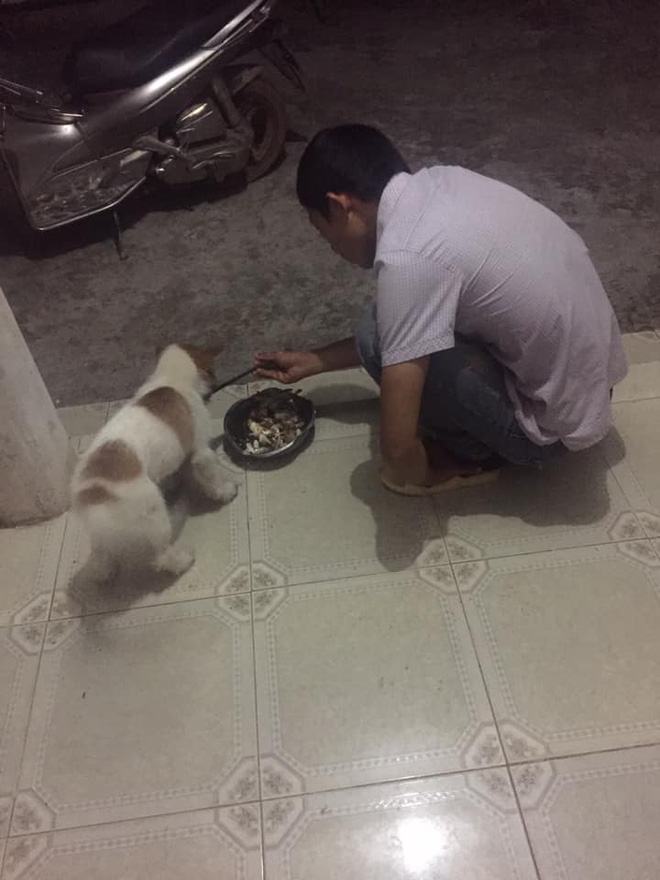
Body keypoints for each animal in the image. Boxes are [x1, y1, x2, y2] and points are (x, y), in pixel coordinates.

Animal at [71, 343, 238, 583]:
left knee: (102, 557)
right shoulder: (201, 453)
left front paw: (172, 483)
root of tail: (93, 490)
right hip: (155, 516)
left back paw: (107, 571)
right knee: (162, 555)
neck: (170, 377)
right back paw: (182, 560)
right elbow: (211, 476)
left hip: (101, 535)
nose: (215, 383)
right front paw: (224, 491)